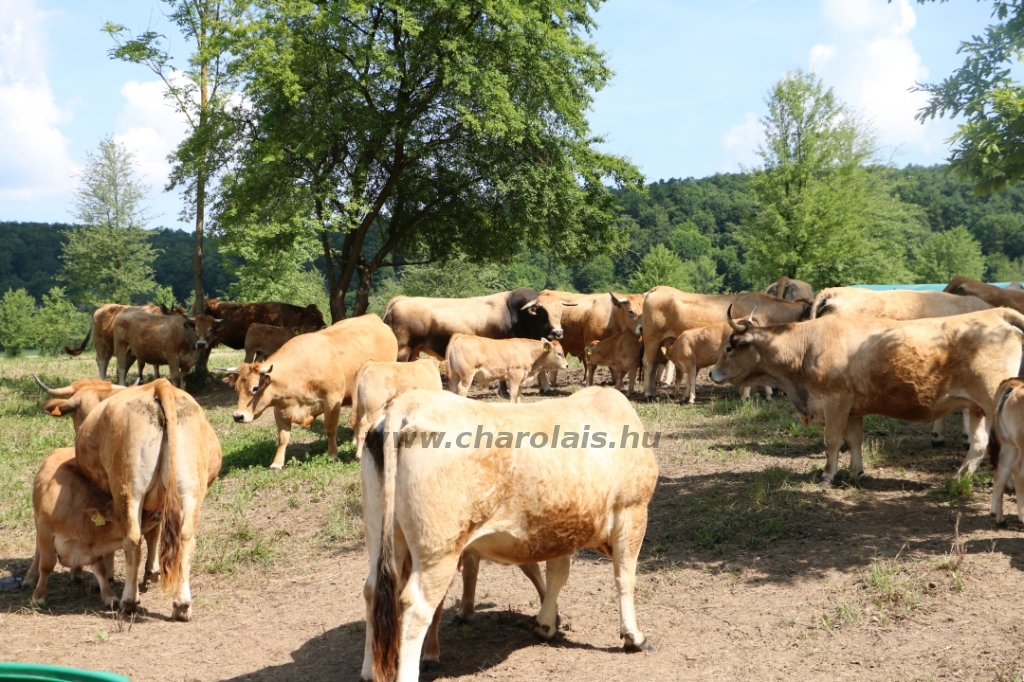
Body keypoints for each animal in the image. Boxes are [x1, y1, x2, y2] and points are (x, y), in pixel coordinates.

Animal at [23, 448, 161, 606]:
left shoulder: (93, 544)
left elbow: (100, 569)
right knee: (38, 550)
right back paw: (30, 578)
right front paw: (38, 597)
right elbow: (46, 564)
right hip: (37, 519)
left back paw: (77, 573)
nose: (157, 513)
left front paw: (109, 596)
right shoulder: (46, 530)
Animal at [44, 378, 222, 618]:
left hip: (129, 491)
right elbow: (154, 533)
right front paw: (152, 572)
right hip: (191, 493)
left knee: (132, 540)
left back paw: (129, 601)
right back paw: (182, 605)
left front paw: (108, 575)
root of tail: (161, 386)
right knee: (186, 539)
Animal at [220, 313, 395, 466]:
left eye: (255, 388)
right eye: (236, 389)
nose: (238, 416)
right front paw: (277, 463)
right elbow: (282, 437)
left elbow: (330, 429)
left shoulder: (332, 401)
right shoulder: (280, 407)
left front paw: (333, 454)